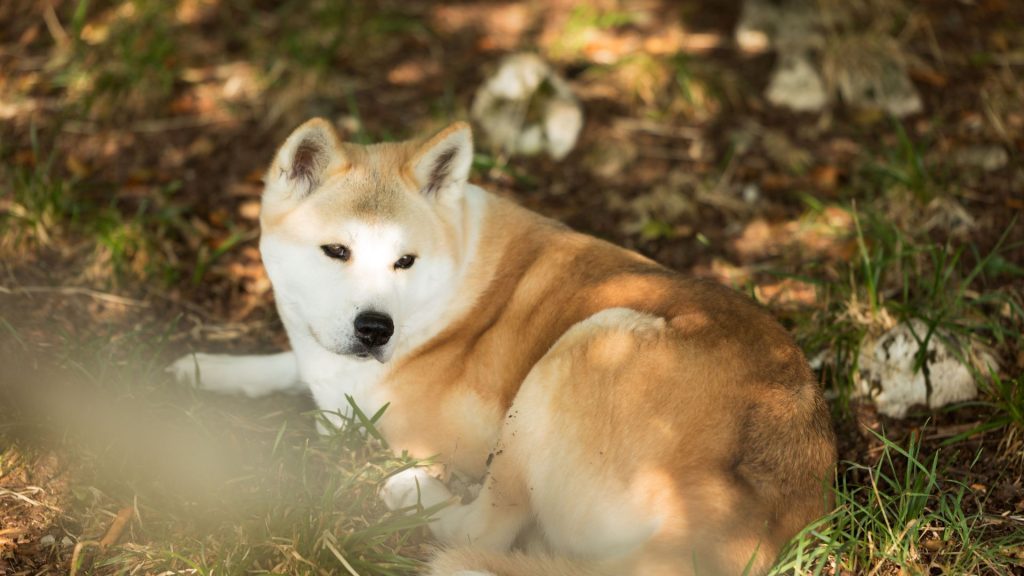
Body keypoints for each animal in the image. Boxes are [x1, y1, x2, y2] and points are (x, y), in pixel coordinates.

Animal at [167, 118, 835, 569]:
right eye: (336, 251)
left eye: (405, 261)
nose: (376, 329)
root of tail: (724, 532)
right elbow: (288, 363)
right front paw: (207, 369)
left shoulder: (375, 419)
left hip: (580, 351)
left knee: (479, 532)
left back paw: (414, 494)